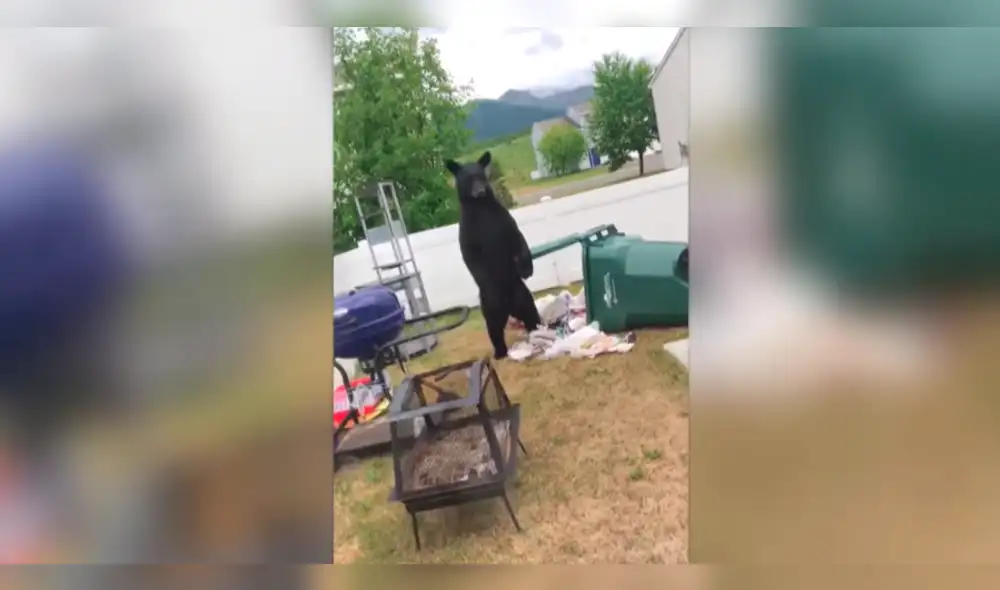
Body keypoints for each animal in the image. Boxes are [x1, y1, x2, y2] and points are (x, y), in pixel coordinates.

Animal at [446, 151, 541, 359]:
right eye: (468, 178)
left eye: (481, 176)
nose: (480, 190)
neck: (480, 207)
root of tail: (510, 309)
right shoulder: (469, 230)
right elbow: (471, 257)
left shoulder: (502, 220)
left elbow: (518, 239)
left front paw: (526, 269)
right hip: (490, 306)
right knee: (494, 329)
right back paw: (500, 352)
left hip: (522, 295)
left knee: (532, 313)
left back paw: (539, 329)